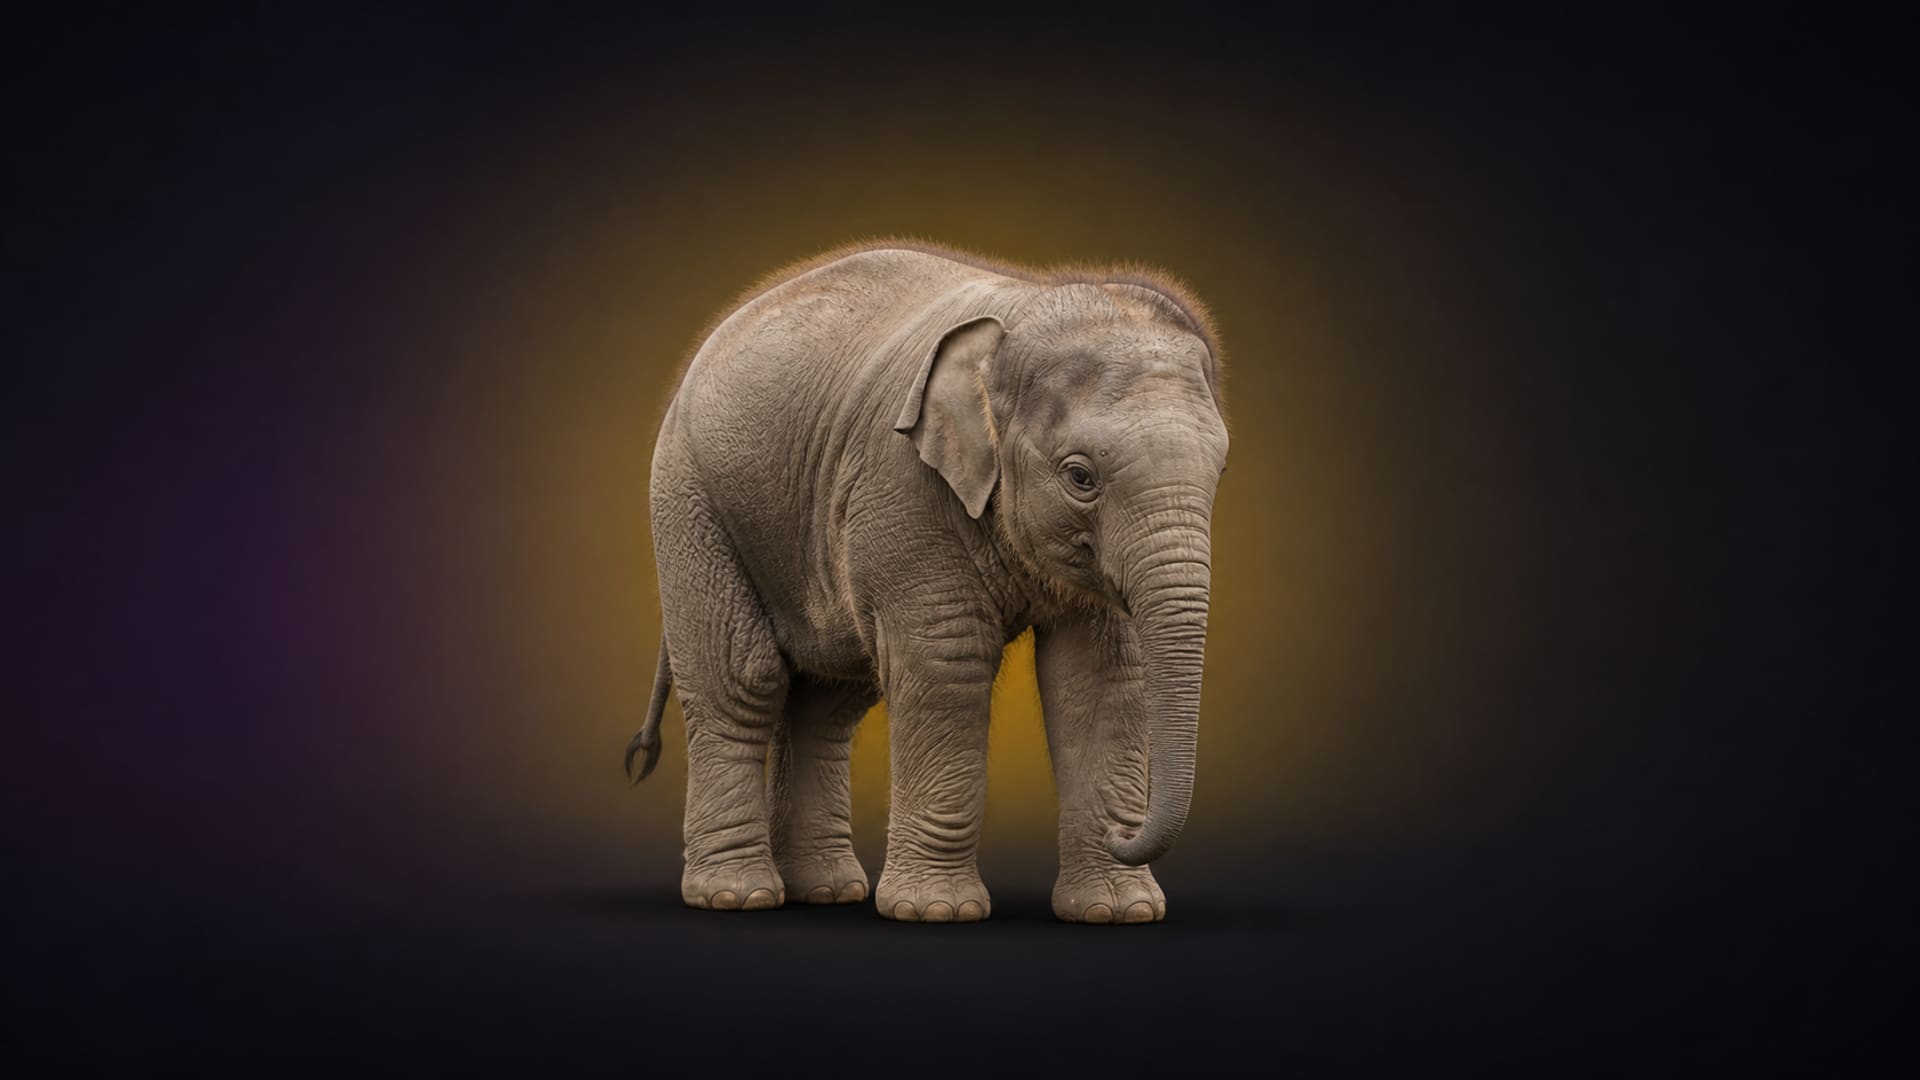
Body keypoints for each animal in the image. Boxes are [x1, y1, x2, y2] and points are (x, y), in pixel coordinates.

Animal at [625, 239, 1229, 924]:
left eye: (1219, 470)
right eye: (1080, 477)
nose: (1123, 833)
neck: (1024, 308)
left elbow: (1098, 678)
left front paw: (1117, 913)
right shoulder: (900, 483)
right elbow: (946, 663)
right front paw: (937, 912)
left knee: (830, 696)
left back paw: (828, 892)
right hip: (689, 500)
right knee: (743, 681)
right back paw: (736, 896)